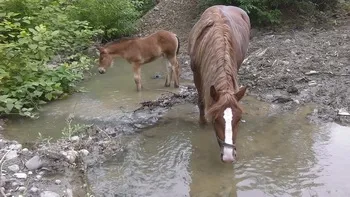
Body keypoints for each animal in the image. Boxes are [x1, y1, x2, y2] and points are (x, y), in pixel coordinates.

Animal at [189, 5, 252, 163]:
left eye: (238, 119)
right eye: (216, 119)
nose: (229, 156)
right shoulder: (196, 74)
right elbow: (201, 102)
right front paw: (202, 123)